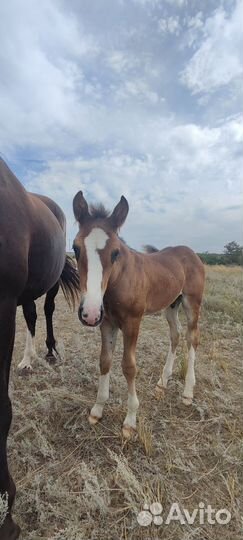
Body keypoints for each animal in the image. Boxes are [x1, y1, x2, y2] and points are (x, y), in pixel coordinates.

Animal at [72, 192, 205, 440]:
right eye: (75, 248)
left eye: (115, 252)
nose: (89, 313)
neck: (118, 281)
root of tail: (191, 252)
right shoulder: (107, 322)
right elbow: (105, 361)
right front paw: (97, 409)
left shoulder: (132, 322)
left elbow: (129, 366)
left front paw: (130, 421)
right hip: (171, 305)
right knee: (175, 335)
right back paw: (162, 383)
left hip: (192, 302)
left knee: (192, 338)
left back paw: (187, 392)